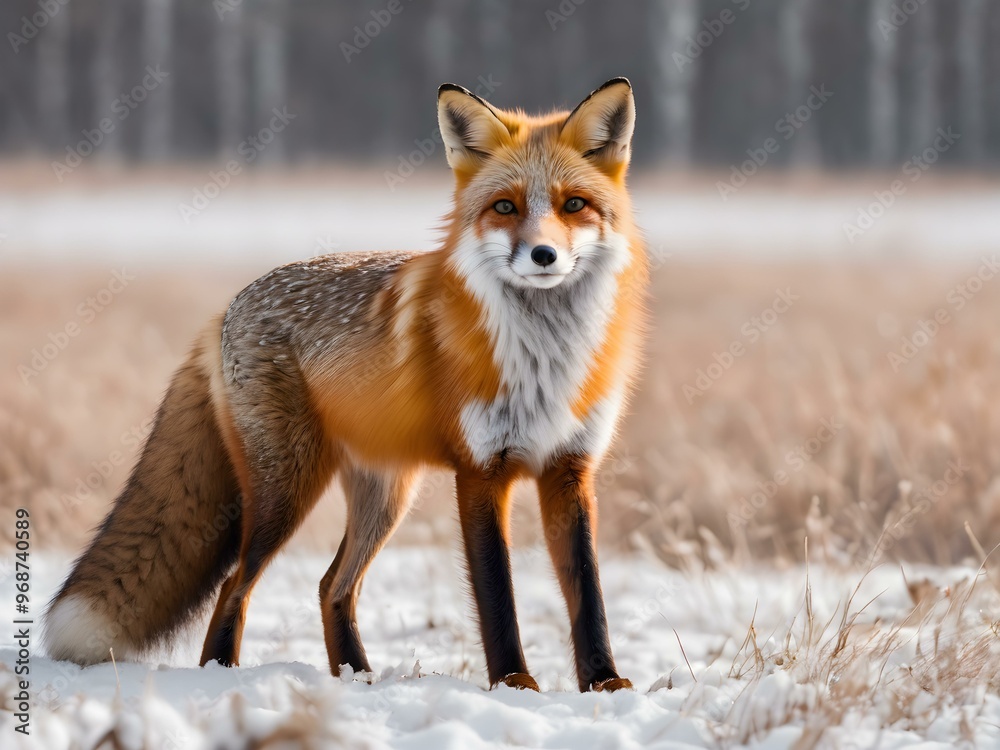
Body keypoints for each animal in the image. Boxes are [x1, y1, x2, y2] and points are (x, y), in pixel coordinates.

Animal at [44, 78, 648, 693]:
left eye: (573, 204)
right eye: (506, 207)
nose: (543, 255)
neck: (543, 358)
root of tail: (227, 309)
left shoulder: (570, 471)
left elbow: (589, 593)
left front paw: (605, 683)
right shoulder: (481, 472)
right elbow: (496, 595)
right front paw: (514, 683)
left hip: (384, 496)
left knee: (331, 585)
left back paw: (356, 677)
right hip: (286, 493)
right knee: (235, 585)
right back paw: (224, 674)